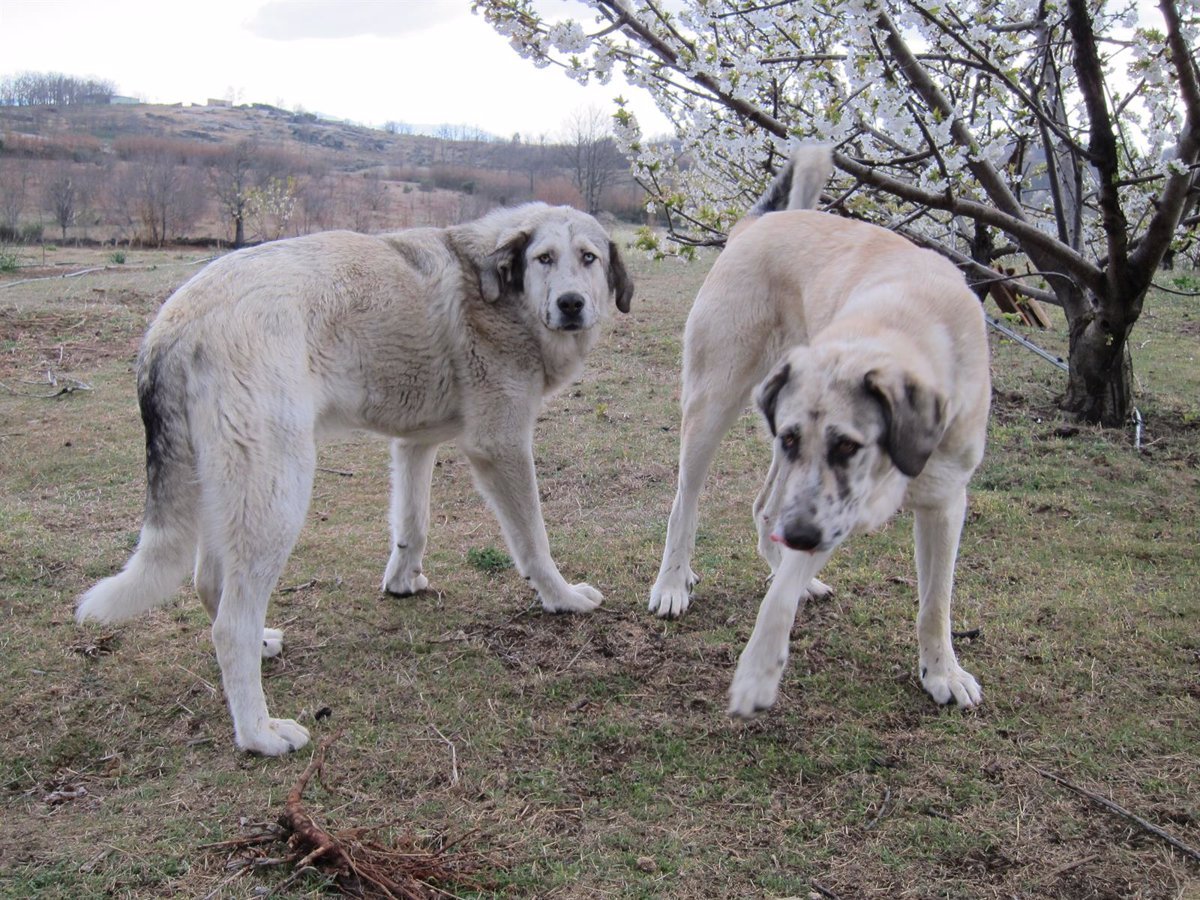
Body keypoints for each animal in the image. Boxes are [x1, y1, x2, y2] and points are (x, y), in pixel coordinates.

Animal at [78, 202, 633, 753]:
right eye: (544, 258)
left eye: (589, 257)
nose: (570, 304)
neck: (498, 290)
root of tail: (173, 321)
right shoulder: (501, 447)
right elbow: (534, 541)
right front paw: (561, 598)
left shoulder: (414, 444)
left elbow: (412, 525)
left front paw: (401, 583)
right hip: (278, 492)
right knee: (229, 626)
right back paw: (258, 732)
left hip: (230, 492)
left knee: (211, 585)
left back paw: (262, 644)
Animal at [652, 151, 988, 724]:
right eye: (797, 438)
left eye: (848, 446)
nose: (803, 537)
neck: (906, 321)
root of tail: (754, 226)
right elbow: (777, 599)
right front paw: (758, 673)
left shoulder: (942, 501)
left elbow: (936, 602)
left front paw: (941, 671)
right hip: (712, 405)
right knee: (686, 503)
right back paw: (674, 582)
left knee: (764, 510)